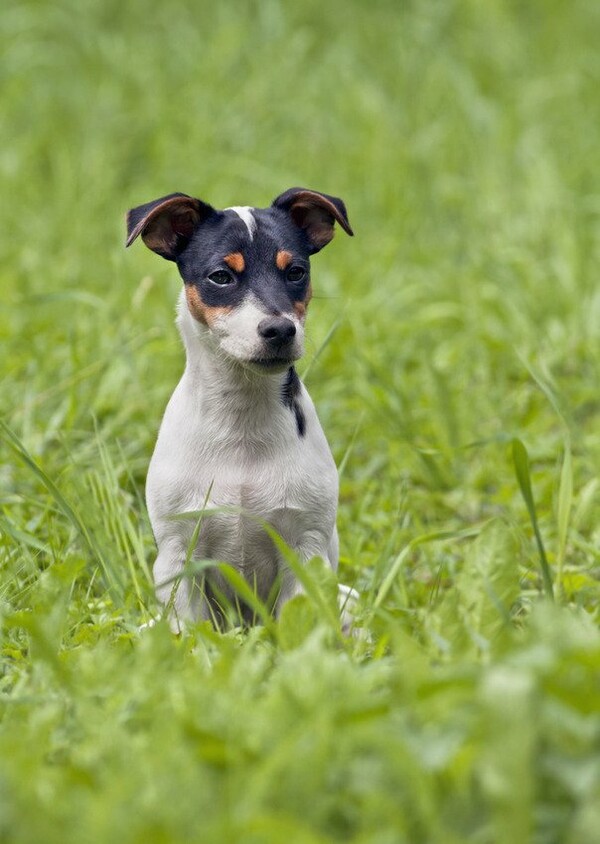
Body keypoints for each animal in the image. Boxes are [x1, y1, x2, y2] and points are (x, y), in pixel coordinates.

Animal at [126, 186, 352, 632]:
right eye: (220, 276)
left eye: (296, 272)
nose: (280, 330)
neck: (242, 421)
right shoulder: (179, 556)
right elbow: (189, 629)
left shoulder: (306, 547)